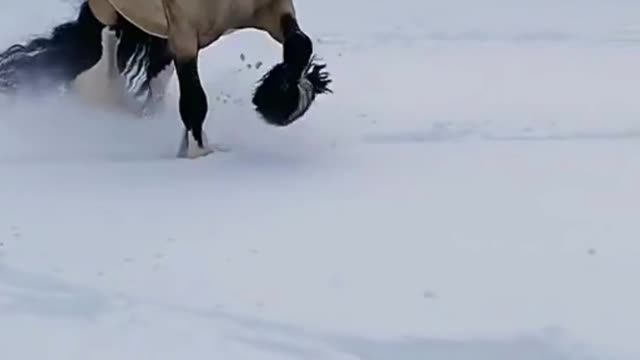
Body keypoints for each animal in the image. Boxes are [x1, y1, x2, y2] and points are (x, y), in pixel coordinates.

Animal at [0, 0, 330, 158]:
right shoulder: (184, 31)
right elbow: (195, 101)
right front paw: (199, 153)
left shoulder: (272, 8)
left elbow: (300, 45)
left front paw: (283, 102)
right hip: (111, 12)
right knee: (100, 55)